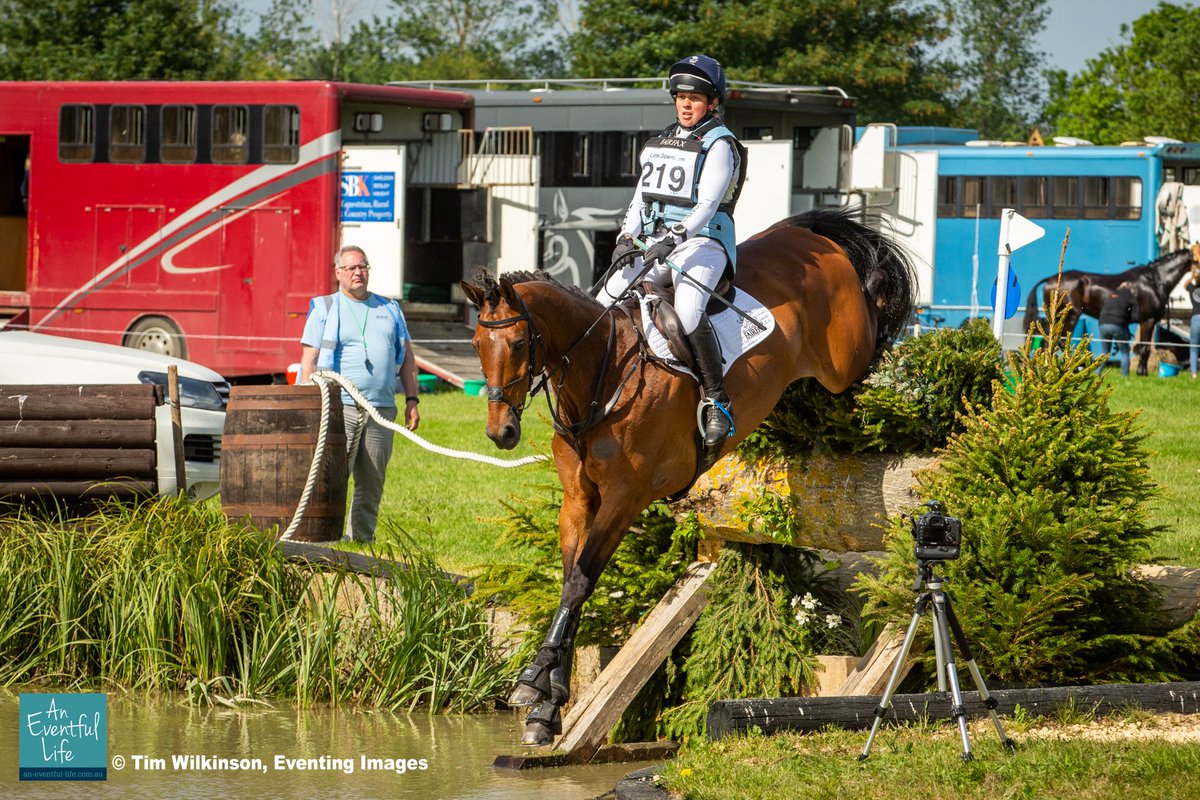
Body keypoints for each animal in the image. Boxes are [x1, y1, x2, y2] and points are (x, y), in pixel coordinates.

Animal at [459, 207, 916, 747]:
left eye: (518, 342)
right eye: (476, 344)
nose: (502, 432)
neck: (601, 377)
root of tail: (806, 234)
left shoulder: (625, 499)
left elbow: (580, 583)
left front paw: (535, 683)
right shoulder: (579, 499)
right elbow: (571, 582)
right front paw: (546, 706)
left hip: (844, 362)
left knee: (872, 341)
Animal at [1022, 243, 1200, 374]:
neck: (1154, 281)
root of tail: (1051, 279)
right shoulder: (1147, 320)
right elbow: (1144, 348)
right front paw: (1142, 372)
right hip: (1070, 316)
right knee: (1059, 340)